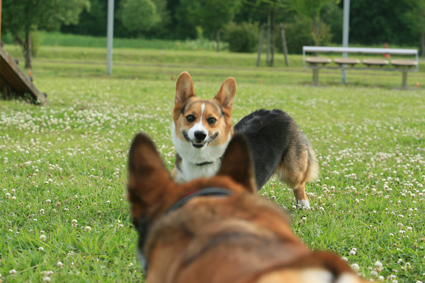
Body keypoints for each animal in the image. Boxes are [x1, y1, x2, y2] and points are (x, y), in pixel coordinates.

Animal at [171, 71, 316, 209]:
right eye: (190, 117)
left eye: (212, 120)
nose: (200, 135)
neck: (201, 160)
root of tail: (278, 111)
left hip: (293, 170)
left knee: (299, 185)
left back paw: (304, 204)